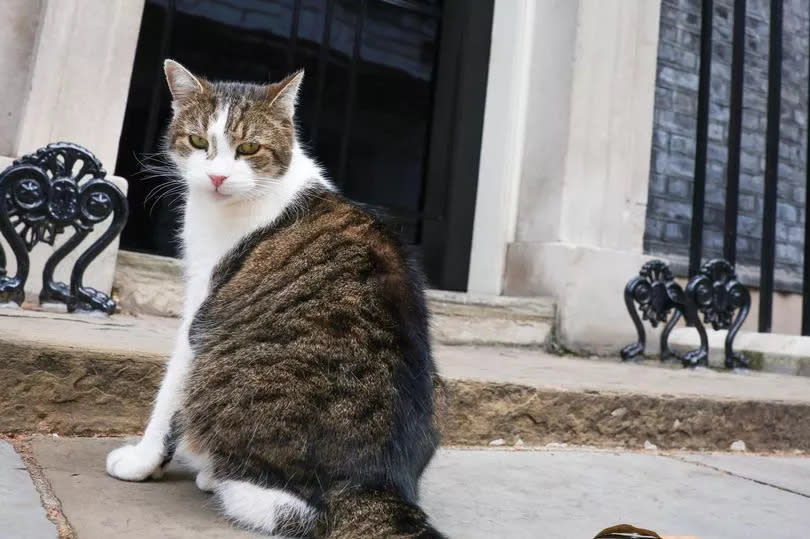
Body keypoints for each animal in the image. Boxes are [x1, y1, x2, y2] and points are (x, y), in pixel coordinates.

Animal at [104, 61, 442, 536]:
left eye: (249, 147)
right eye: (198, 141)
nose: (217, 177)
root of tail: (377, 481)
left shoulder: (201, 312)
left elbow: (169, 395)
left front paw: (140, 461)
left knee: (286, 507)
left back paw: (217, 478)